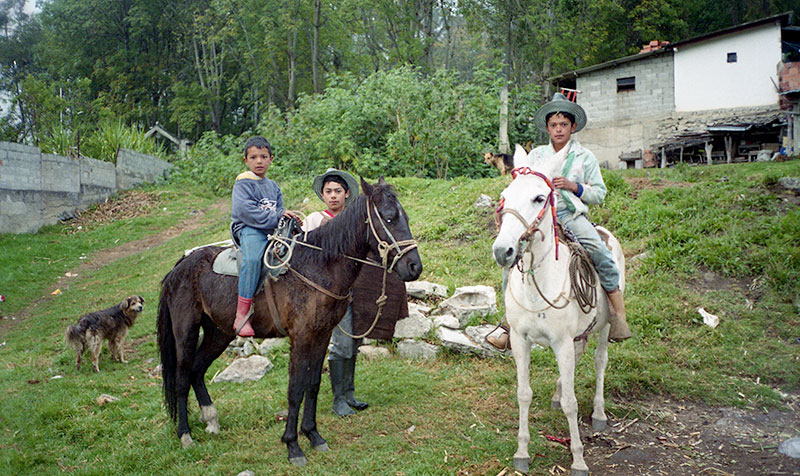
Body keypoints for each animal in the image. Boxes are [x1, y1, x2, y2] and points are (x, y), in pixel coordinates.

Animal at [153, 178, 422, 464]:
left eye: (404, 217)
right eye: (390, 218)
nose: (414, 267)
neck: (319, 266)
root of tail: (179, 267)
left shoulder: (322, 334)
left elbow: (313, 385)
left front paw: (313, 435)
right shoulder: (301, 336)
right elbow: (295, 390)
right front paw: (292, 445)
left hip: (219, 332)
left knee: (197, 370)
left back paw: (211, 421)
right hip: (186, 331)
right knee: (182, 378)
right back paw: (185, 434)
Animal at [494, 144, 624, 476]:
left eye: (540, 198)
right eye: (506, 195)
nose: (503, 251)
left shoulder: (562, 342)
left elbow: (571, 403)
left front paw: (578, 459)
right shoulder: (521, 341)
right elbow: (524, 394)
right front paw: (522, 452)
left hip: (604, 328)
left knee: (600, 362)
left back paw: (599, 413)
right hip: (576, 338)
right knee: (577, 361)